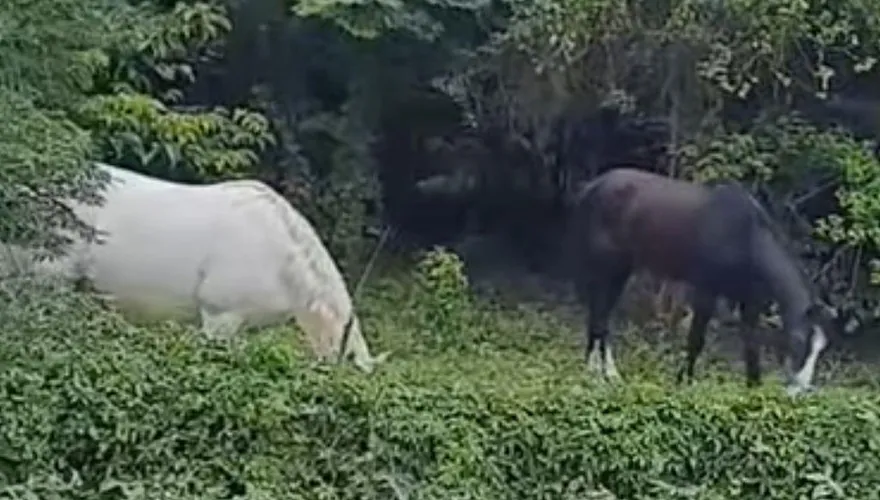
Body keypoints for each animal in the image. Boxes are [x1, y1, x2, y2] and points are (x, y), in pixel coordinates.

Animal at [564, 167, 836, 396]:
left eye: (820, 348)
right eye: (798, 340)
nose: (798, 391)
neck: (746, 237)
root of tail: (593, 187)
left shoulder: (750, 302)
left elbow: (751, 345)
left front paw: (753, 390)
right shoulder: (706, 291)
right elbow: (696, 339)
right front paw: (683, 382)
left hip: (619, 271)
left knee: (599, 318)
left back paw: (598, 372)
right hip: (608, 268)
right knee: (600, 319)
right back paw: (604, 375)